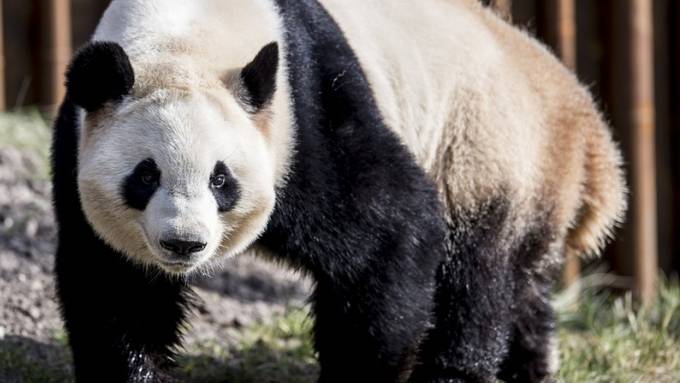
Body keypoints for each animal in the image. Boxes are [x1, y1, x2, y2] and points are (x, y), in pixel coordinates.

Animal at [51, 0, 628, 383]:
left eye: (221, 179)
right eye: (146, 176)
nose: (184, 244)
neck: (185, 37)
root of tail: (583, 117)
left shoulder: (308, 115)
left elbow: (391, 230)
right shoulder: (80, 138)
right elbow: (116, 283)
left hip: (485, 155)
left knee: (479, 280)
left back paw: (457, 371)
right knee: (523, 288)